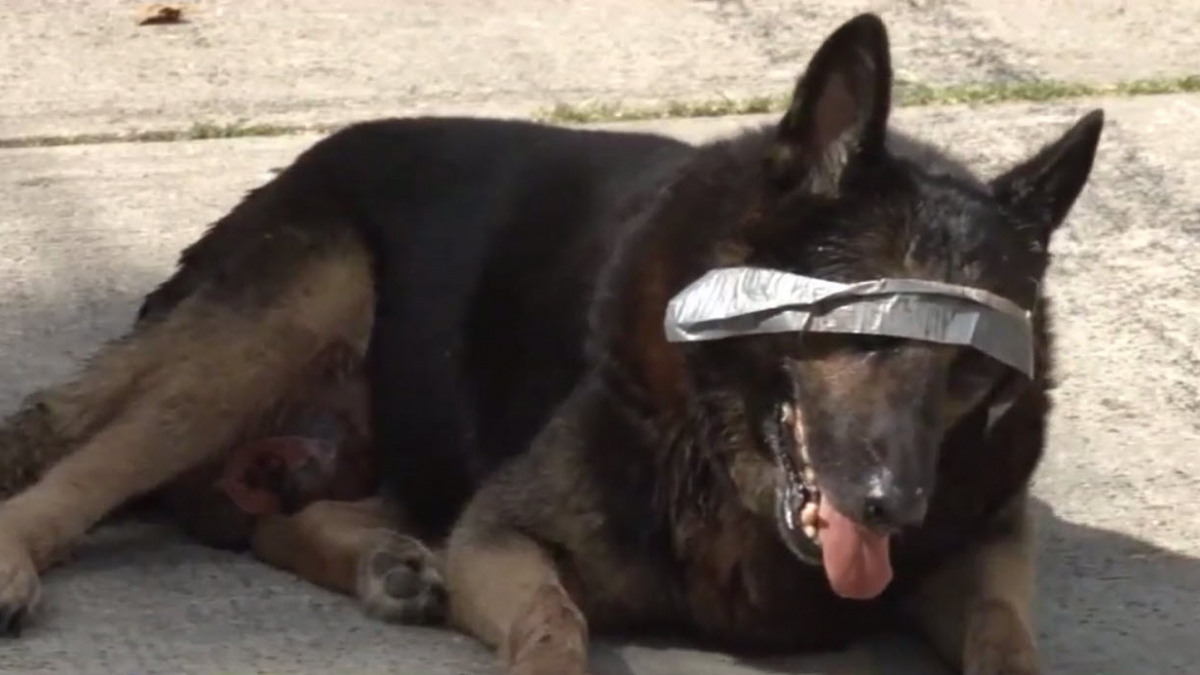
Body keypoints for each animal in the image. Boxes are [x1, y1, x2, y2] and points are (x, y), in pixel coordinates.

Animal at [0, 11, 1104, 672]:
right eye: (853, 328)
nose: (893, 506)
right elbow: (555, 624)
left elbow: (1006, 634)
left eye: (973, 370)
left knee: (280, 507)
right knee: (83, 460)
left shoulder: (989, 545)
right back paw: (19, 552)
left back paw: (386, 561)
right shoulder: (505, 535)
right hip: (296, 305)